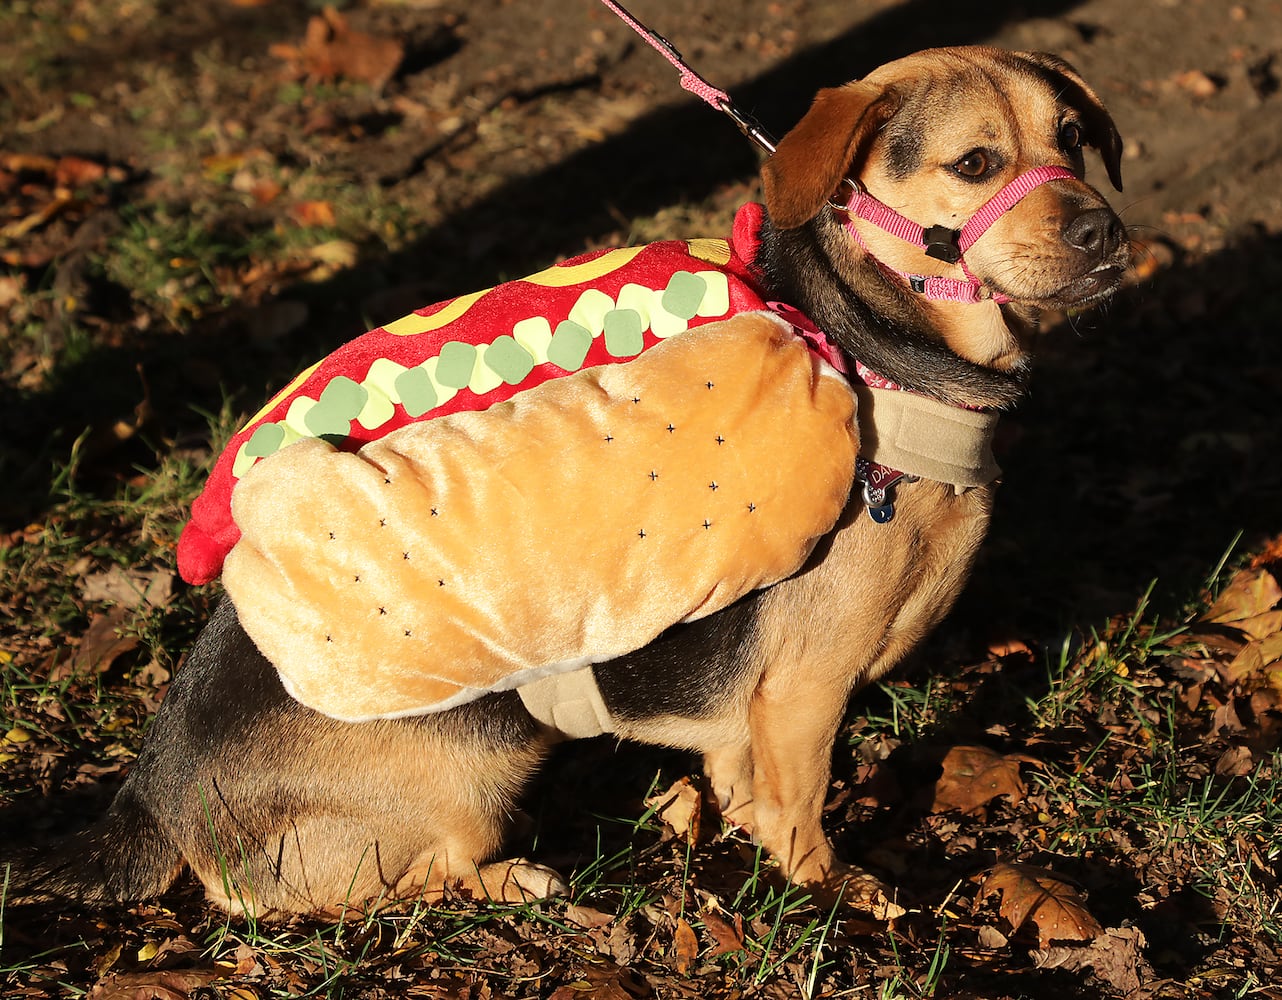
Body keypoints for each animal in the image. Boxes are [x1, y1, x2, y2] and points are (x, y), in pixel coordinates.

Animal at [7, 48, 1133, 923]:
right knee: (381, 883)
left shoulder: (748, 714)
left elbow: (742, 783)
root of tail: (152, 795)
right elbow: (802, 811)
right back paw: (520, 879)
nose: (1105, 234)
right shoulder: (807, 694)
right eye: (974, 164)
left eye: (1075, 139)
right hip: (470, 774)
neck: (882, 351)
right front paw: (831, 892)